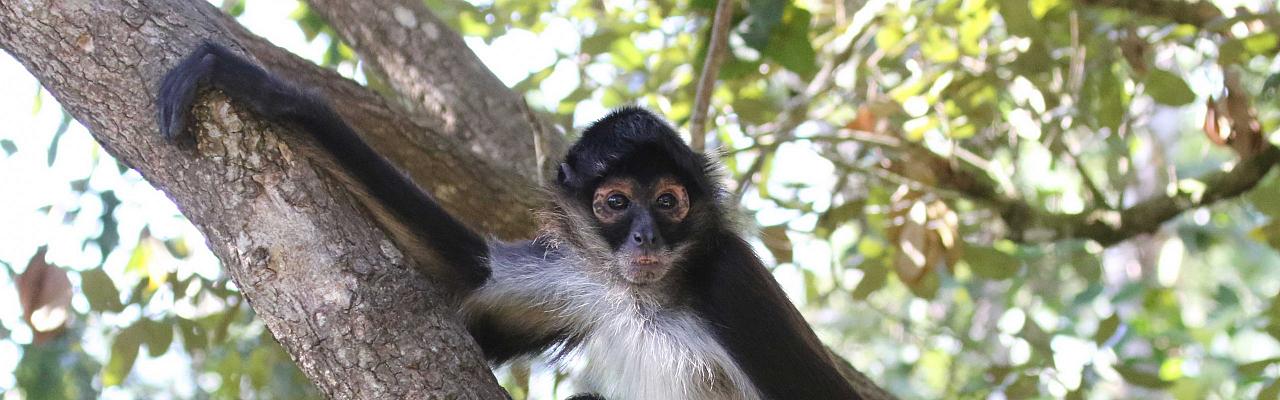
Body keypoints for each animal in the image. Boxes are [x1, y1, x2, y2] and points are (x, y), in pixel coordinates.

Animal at [156, 41, 861, 400]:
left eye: (668, 203)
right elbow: (470, 277)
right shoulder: (585, 278)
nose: (646, 235)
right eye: (616, 204)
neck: (649, 299)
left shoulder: (729, 279)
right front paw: (267, 89)